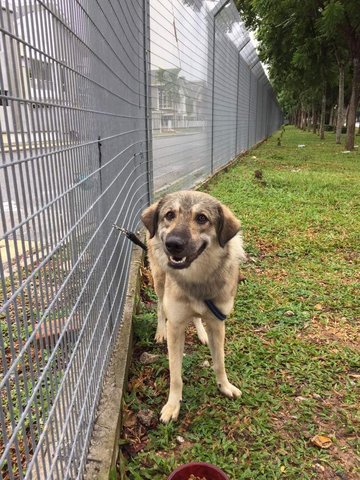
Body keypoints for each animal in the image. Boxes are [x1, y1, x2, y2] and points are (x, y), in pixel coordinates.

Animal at [139, 189, 246, 422]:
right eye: (170, 215)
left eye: (202, 218)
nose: (173, 244)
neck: (197, 280)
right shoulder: (176, 326)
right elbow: (175, 375)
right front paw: (172, 405)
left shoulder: (218, 323)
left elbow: (219, 362)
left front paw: (224, 386)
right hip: (159, 281)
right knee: (159, 307)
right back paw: (159, 331)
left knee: (196, 316)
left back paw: (201, 333)